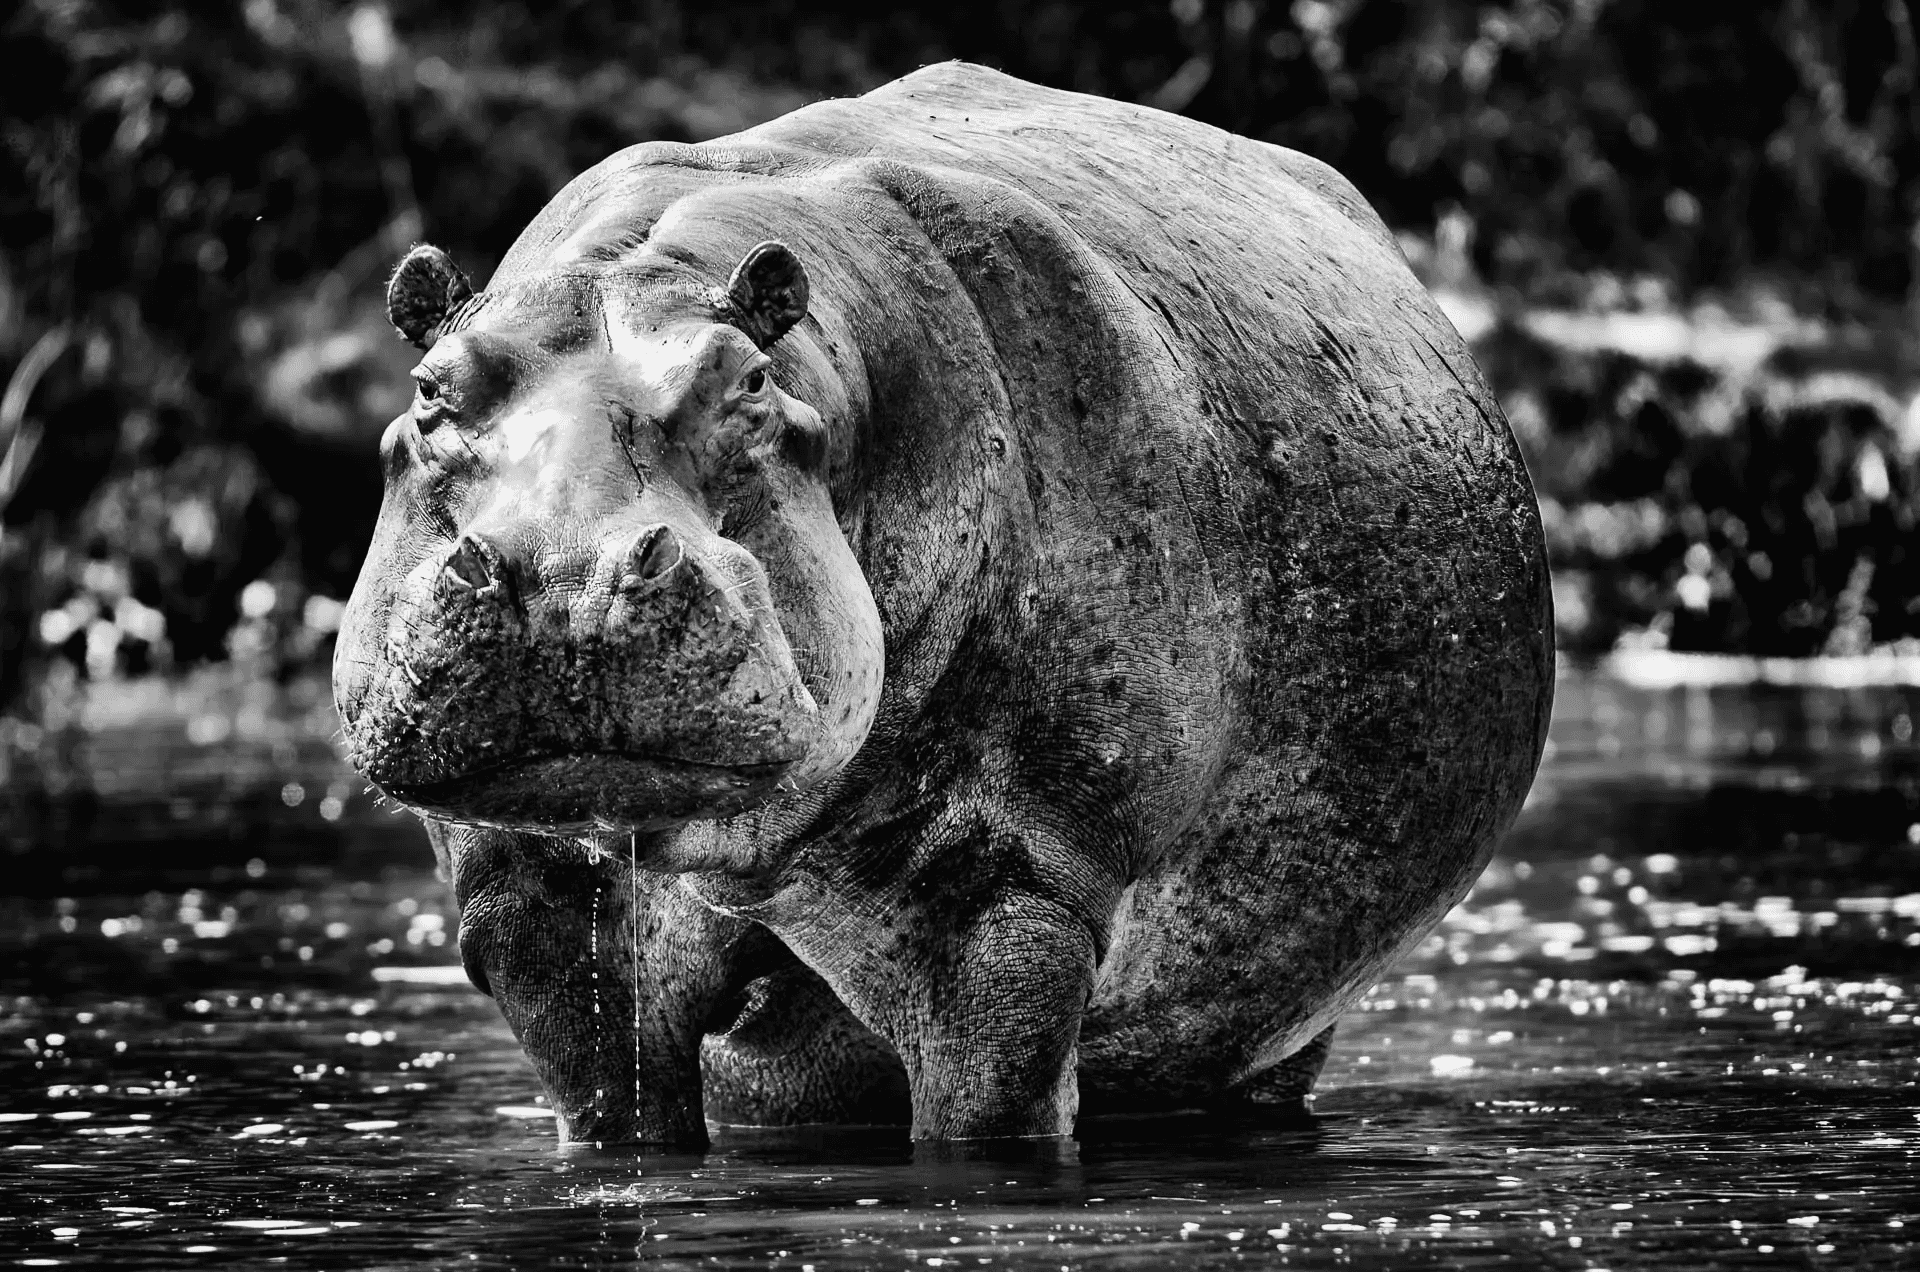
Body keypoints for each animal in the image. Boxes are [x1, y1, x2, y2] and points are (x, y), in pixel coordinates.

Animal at [333, 61, 1553, 1147]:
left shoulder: (1010, 894)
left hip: (1270, 1020)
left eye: (748, 385)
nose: (566, 578)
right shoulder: (530, 901)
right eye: (431, 390)